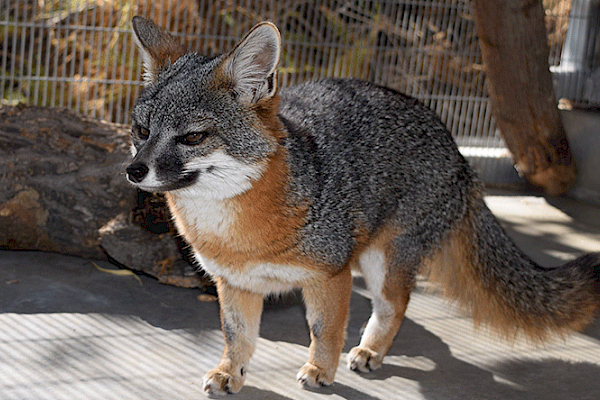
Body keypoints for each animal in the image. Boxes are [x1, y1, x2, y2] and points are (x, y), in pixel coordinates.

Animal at [126, 14, 600, 394]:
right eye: (141, 131)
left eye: (192, 137)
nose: (134, 171)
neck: (236, 232)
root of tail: (460, 154)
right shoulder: (234, 283)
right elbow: (236, 336)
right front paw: (232, 372)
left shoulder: (330, 274)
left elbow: (325, 329)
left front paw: (321, 369)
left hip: (382, 263)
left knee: (396, 306)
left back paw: (371, 351)